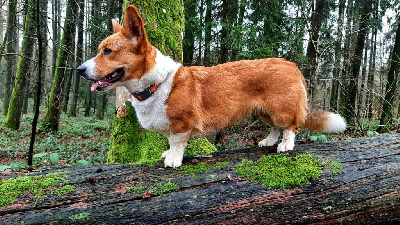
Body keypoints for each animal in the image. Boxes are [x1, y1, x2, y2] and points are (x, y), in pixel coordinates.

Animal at [76, 5, 346, 168]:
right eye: (101, 50)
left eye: (107, 51)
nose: (79, 70)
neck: (155, 83)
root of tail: (291, 64)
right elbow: (169, 142)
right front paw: (167, 154)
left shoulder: (181, 125)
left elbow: (177, 142)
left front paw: (173, 159)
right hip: (264, 112)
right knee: (275, 127)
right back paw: (268, 142)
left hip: (280, 108)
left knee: (290, 126)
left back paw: (286, 146)